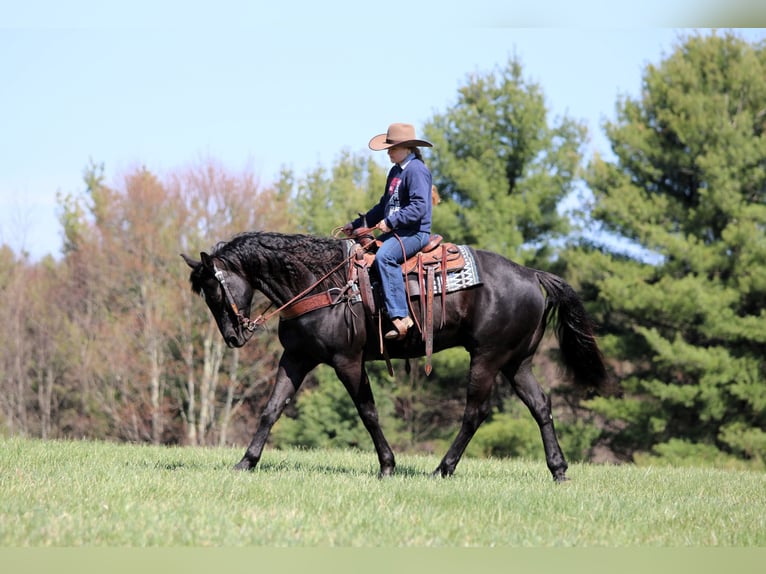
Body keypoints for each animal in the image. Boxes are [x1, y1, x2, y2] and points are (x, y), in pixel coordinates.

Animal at [182, 231, 614, 482]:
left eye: (215, 291)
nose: (234, 336)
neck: (321, 282)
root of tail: (531, 274)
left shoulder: (347, 360)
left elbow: (368, 412)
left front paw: (387, 466)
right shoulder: (297, 357)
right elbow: (271, 409)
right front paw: (246, 462)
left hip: (488, 358)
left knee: (474, 412)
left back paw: (442, 469)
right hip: (515, 363)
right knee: (541, 407)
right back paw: (558, 470)